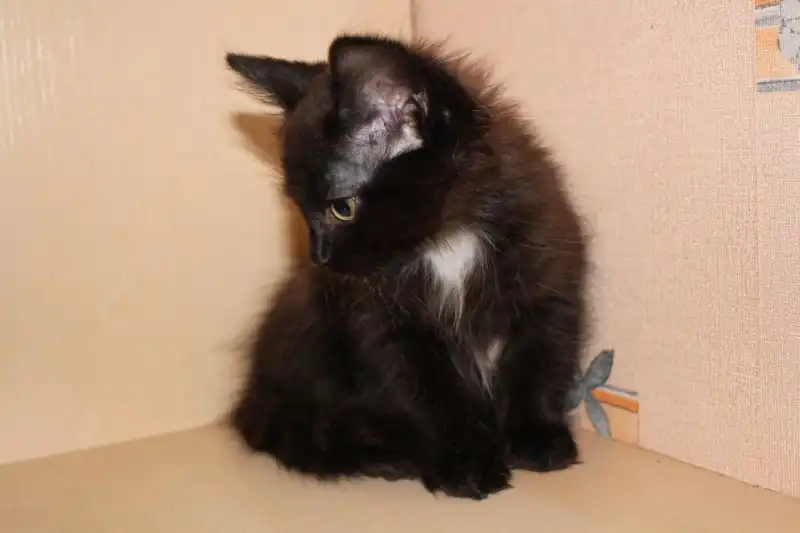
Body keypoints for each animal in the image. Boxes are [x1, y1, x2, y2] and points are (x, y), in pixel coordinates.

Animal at [225, 34, 588, 500]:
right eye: (300, 209)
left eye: (342, 208)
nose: (318, 257)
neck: (445, 241)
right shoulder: (389, 330)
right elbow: (432, 395)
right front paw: (466, 463)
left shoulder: (548, 278)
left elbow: (541, 362)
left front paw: (537, 437)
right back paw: (386, 454)